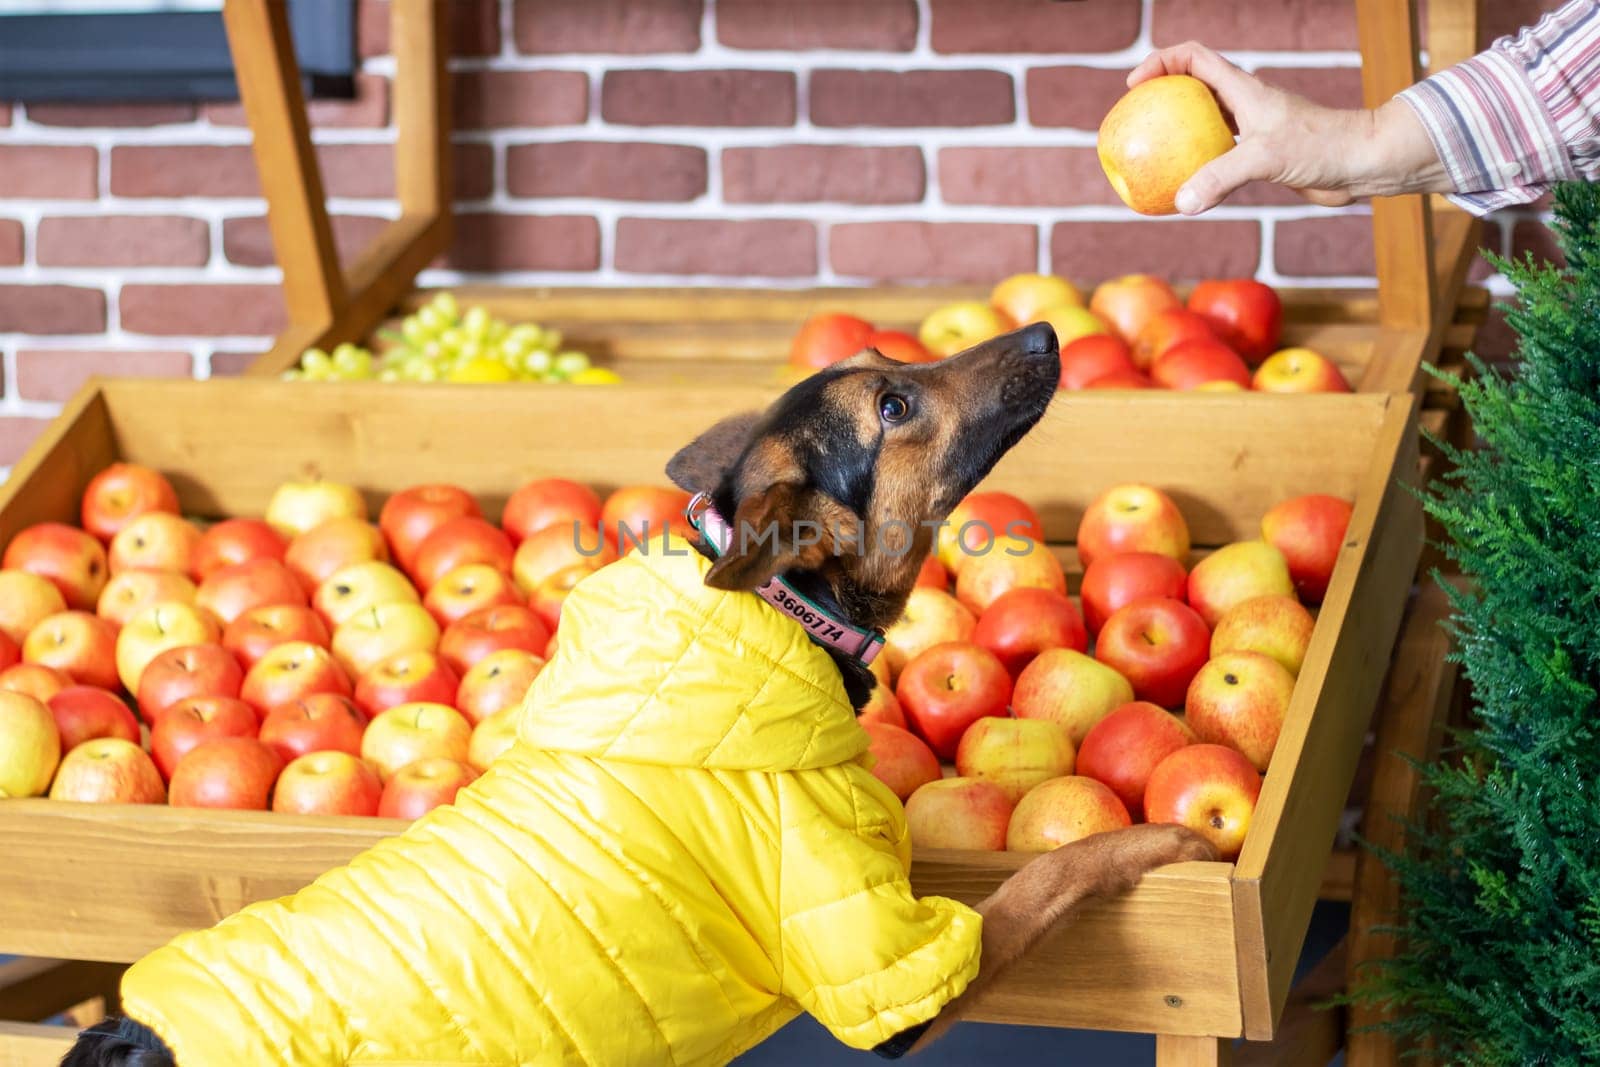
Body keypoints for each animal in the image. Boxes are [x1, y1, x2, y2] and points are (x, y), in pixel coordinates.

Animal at [65, 326, 1209, 1067]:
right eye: (892, 407)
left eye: (893, 366)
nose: (1047, 332)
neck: (780, 612)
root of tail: (128, 1037)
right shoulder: (895, 970)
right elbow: (1055, 869)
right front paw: (1168, 840)